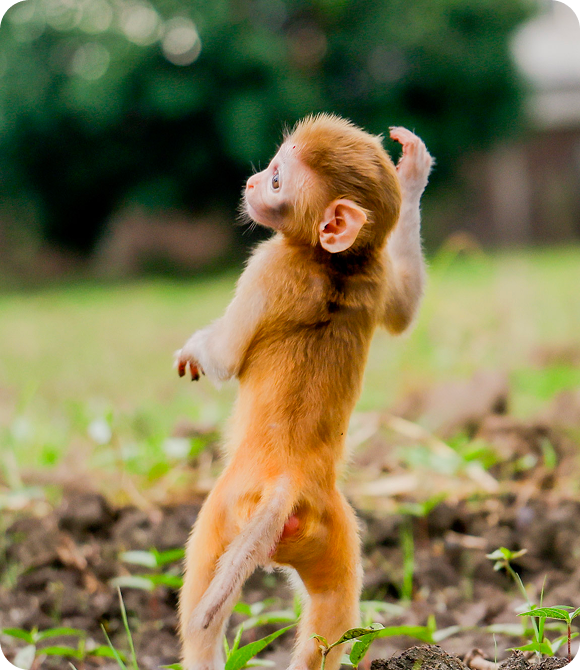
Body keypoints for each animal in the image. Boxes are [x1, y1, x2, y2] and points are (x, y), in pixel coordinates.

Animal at [175, 114, 433, 670]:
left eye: (277, 179)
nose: (252, 183)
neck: (336, 264)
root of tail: (287, 481)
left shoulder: (266, 264)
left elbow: (225, 357)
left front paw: (196, 350)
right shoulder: (377, 272)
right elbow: (402, 313)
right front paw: (411, 176)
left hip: (225, 515)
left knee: (200, 609)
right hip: (331, 532)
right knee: (332, 616)